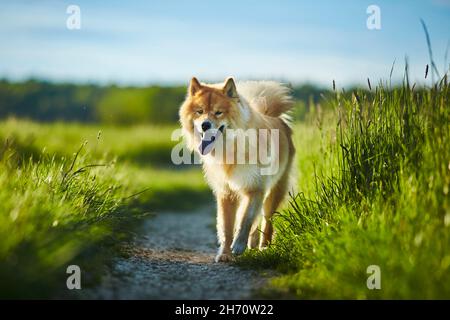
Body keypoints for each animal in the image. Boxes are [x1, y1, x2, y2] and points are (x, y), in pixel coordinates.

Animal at [179, 77, 296, 262]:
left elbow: (245, 218)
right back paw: (253, 244)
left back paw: (264, 247)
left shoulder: (255, 188)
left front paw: (239, 245)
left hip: (275, 190)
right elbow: (227, 226)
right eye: (200, 111)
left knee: (267, 220)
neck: (230, 148)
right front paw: (225, 254)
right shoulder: (226, 192)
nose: (205, 125)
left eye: (218, 112)